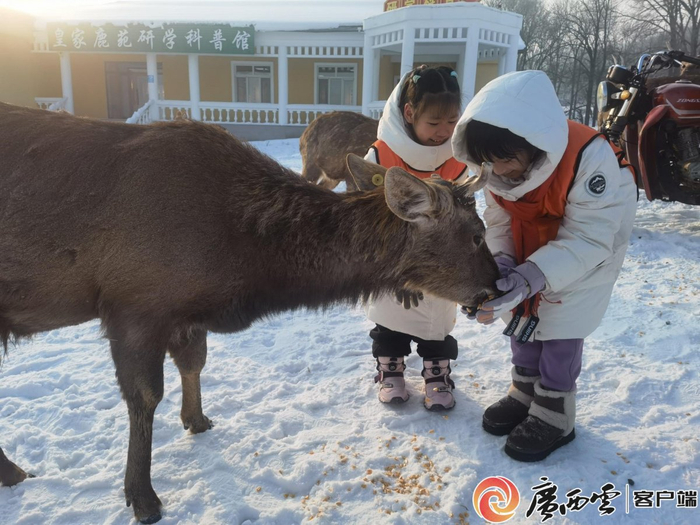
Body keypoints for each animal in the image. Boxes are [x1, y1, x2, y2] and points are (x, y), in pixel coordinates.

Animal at [0, 101, 498, 524]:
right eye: (476, 234)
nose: (495, 286)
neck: (242, 264)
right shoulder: (133, 303)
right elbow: (144, 398)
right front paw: (142, 497)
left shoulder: (184, 312)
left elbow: (194, 363)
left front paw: (197, 421)